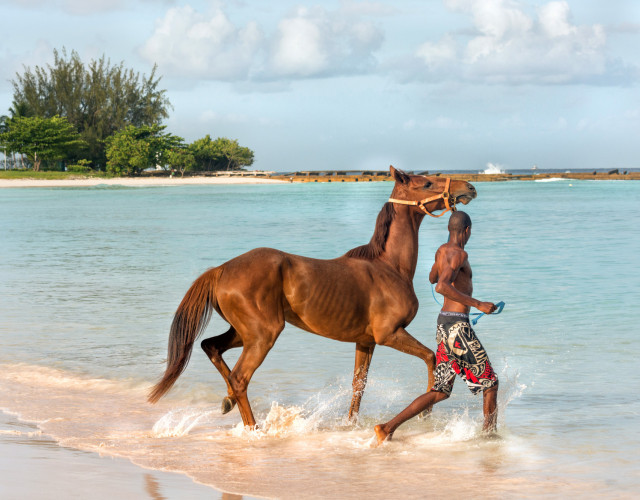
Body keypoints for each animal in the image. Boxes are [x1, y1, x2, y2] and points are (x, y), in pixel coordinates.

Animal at [149, 167, 476, 426]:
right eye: (427, 183)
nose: (469, 188)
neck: (388, 267)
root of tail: (221, 270)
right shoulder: (389, 334)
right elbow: (431, 357)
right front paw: (426, 412)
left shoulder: (366, 342)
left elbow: (359, 384)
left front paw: (351, 424)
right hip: (263, 334)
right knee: (239, 378)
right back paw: (253, 428)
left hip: (244, 332)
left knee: (211, 348)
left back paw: (228, 401)